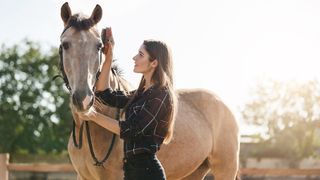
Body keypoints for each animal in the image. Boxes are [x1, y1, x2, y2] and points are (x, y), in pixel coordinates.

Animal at [58, 2, 240, 179]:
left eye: (98, 46)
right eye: (65, 44)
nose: (84, 100)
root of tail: (222, 103)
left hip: (225, 169)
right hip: (194, 172)